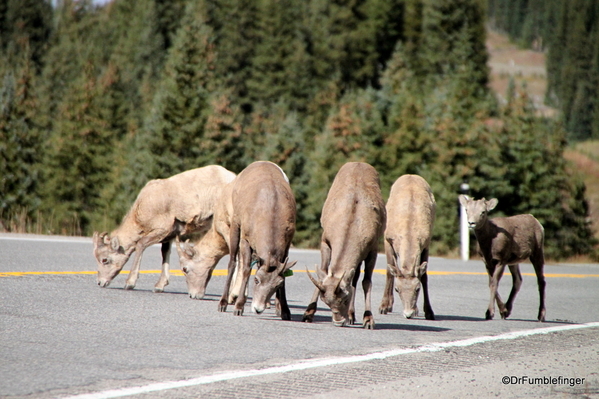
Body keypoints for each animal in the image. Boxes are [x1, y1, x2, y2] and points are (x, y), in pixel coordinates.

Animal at [92, 166, 236, 294]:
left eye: (104, 260)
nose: (100, 282)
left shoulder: (161, 230)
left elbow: (140, 245)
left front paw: (130, 284)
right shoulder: (170, 235)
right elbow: (164, 253)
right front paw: (159, 287)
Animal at [218, 161, 298, 320]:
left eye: (277, 285)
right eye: (256, 280)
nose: (258, 309)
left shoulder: (286, 246)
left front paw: (285, 312)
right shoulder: (246, 240)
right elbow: (246, 269)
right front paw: (238, 308)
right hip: (235, 227)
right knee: (232, 263)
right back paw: (223, 304)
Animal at [302, 162, 386, 328]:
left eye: (345, 299)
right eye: (325, 301)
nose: (339, 321)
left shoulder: (373, 248)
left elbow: (367, 282)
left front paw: (368, 319)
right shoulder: (325, 242)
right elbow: (322, 273)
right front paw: (308, 314)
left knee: (356, 279)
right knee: (354, 277)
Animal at [380, 175, 436, 322]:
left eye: (417, 289)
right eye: (397, 289)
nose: (408, 313)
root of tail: (411, 175)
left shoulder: (426, 243)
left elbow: (424, 276)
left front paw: (429, 312)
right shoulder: (387, 239)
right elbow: (389, 272)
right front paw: (384, 307)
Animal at [460, 195, 548, 324]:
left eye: (483, 212)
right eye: (467, 210)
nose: (471, 223)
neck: (489, 243)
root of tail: (537, 222)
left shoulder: (501, 261)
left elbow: (494, 283)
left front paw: (489, 313)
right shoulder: (488, 263)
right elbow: (491, 283)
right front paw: (503, 311)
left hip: (537, 252)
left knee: (541, 281)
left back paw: (541, 316)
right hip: (513, 262)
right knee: (518, 280)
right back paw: (508, 309)